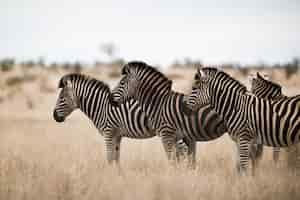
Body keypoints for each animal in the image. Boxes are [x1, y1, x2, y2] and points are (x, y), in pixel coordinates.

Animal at [51, 73, 188, 166]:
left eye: (62, 98)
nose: (54, 116)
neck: (101, 106)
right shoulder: (117, 136)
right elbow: (116, 159)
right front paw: (118, 177)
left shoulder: (108, 133)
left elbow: (109, 158)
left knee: (184, 152)